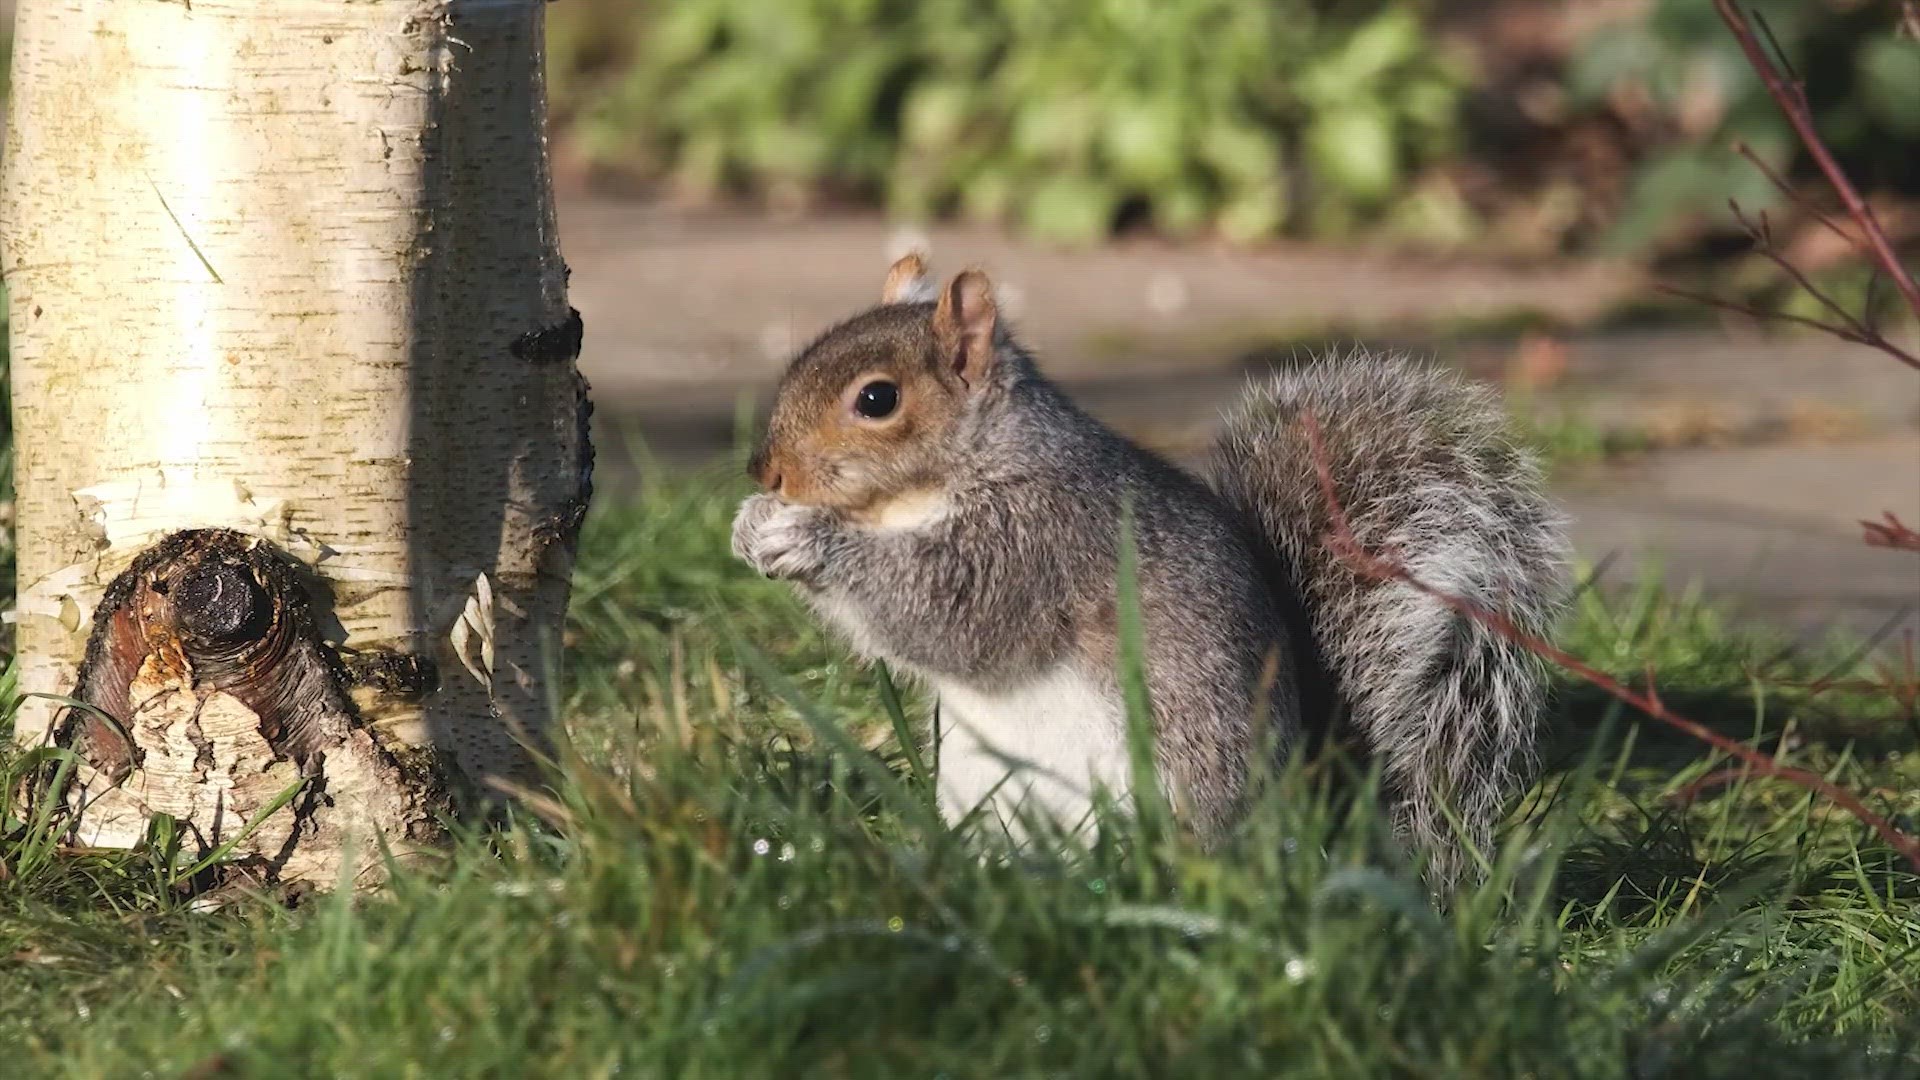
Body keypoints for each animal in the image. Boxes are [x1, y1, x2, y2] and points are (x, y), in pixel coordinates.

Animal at [725, 253, 1566, 891]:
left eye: (877, 398)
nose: (766, 471)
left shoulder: (1042, 543)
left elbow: (951, 617)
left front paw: (807, 539)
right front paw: (748, 525)